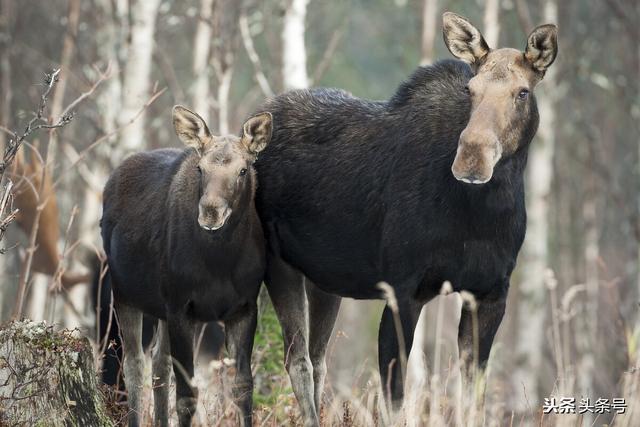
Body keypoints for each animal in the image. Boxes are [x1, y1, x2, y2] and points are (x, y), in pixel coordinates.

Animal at [101, 104, 272, 427]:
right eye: (200, 168)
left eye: (243, 169)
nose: (210, 212)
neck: (220, 262)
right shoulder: (181, 307)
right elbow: (187, 395)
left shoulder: (244, 308)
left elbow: (243, 386)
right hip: (125, 294)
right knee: (134, 365)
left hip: (160, 309)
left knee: (158, 364)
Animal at [252, 11, 556, 426]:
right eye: (470, 90)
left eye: (522, 92)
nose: (471, 159)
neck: (480, 215)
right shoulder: (403, 290)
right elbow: (394, 397)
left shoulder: (491, 293)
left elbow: (472, 396)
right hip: (276, 264)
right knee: (296, 360)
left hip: (324, 281)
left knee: (318, 359)